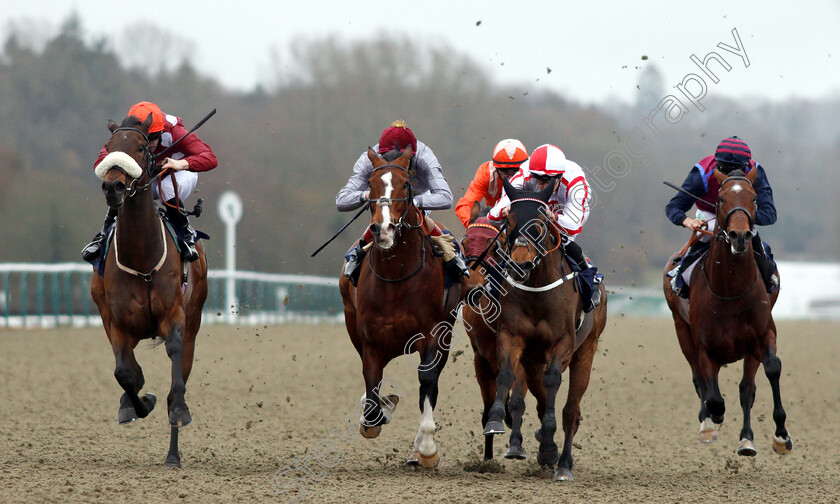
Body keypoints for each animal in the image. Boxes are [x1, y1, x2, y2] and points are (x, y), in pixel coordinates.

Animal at [90, 112, 208, 466]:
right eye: (109, 146)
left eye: (141, 147)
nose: (114, 185)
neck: (142, 258)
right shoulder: (116, 324)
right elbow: (125, 375)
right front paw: (136, 404)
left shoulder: (174, 316)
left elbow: (174, 376)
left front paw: (178, 409)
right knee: (131, 371)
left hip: (194, 321)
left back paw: (173, 455)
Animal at [338, 148, 462, 466]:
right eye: (370, 183)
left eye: (406, 184)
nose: (383, 228)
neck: (396, 277)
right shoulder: (370, 339)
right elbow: (371, 390)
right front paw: (378, 411)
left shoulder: (432, 334)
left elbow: (427, 380)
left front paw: (427, 447)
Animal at [482, 178, 608, 480]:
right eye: (509, 220)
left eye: (540, 222)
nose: (520, 262)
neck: (537, 288)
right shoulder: (512, 336)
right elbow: (506, 375)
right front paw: (496, 419)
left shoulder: (562, 342)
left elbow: (553, 383)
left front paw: (551, 447)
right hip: (531, 359)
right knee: (538, 398)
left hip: (586, 351)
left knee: (571, 411)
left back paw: (563, 464)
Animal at [664, 166, 796, 456]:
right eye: (721, 198)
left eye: (754, 198)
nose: (740, 236)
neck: (730, 291)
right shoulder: (705, 345)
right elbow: (712, 393)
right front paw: (714, 417)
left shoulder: (763, 335)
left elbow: (770, 369)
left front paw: (780, 435)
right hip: (681, 330)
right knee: (699, 379)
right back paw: (708, 423)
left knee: (746, 388)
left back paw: (746, 439)